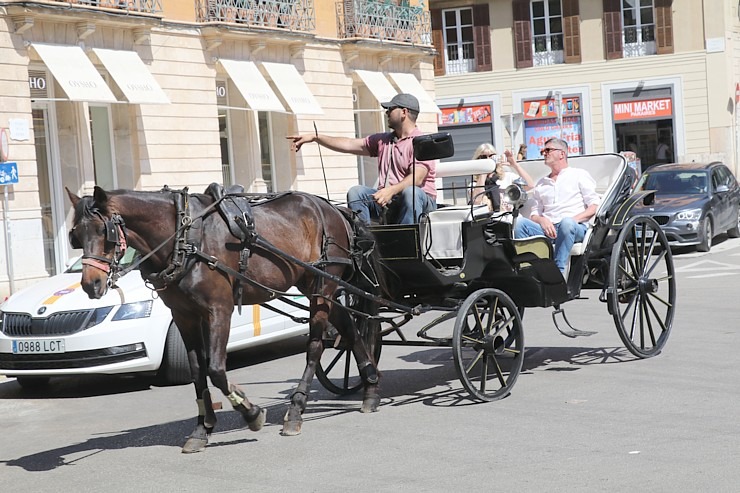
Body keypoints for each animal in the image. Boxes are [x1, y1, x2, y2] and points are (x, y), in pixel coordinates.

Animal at [66, 185, 388, 454]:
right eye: (76, 236)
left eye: (104, 231)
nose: (91, 285)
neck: (186, 238)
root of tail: (334, 209)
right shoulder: (184, 316)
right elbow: (198, 372)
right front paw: (202, 428)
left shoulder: (219, 309)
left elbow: (216, 369)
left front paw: (251, 413)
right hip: (319, 288)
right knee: (350, 329)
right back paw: (370, 387)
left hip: (324, 286)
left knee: (315, 347)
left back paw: (296, 411)